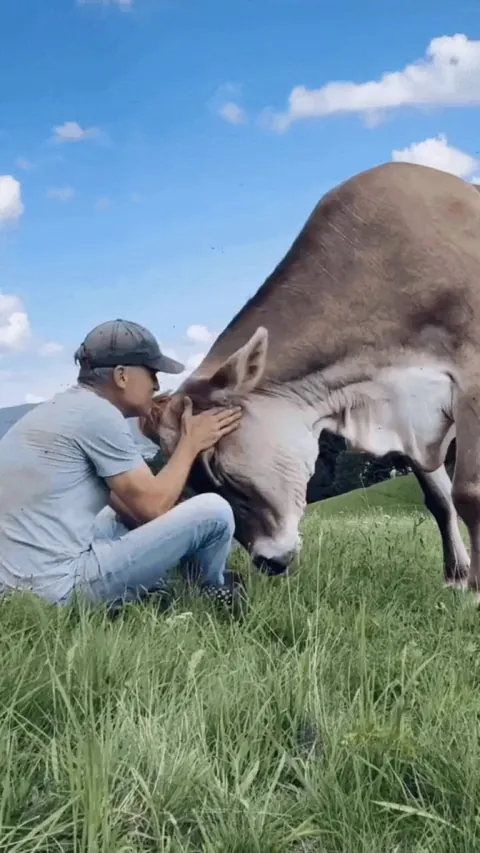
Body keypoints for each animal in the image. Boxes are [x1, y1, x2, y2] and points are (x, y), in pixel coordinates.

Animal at [141, 161, 480, 598]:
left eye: (219, 469)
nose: (268, 562)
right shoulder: (410, 420)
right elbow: (439, 498)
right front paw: (457, 577)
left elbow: (468, 491)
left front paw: (475, 588)